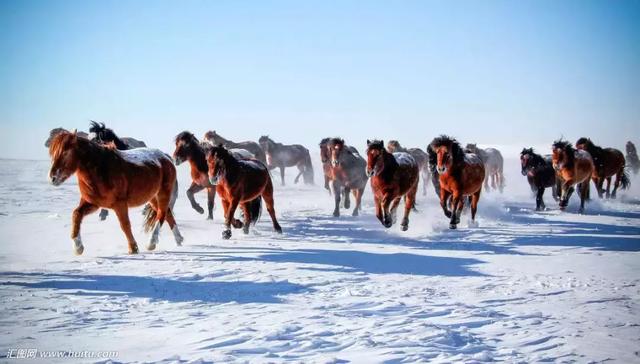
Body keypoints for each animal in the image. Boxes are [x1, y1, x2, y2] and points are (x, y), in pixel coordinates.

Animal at [47, 130, 181, 253]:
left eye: (65, 152)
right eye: (53, 153)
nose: (52, 178)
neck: (102, 170)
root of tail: (165, 157)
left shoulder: (120, 204)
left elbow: (125, 224)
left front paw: (133, 248)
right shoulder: (93, 203)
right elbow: (76, 214)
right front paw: (78, 247)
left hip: (163, 193)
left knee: (161, 214)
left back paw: (151, 243)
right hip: (152, 197)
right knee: (167, 213)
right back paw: (179, 240)